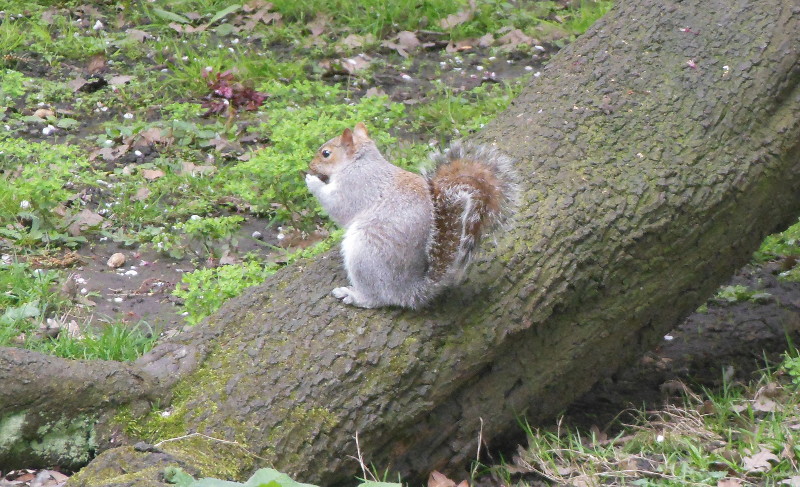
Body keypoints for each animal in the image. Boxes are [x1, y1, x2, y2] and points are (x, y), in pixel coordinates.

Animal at [304, 124, 516, 310]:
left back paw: (355, 295)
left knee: (378, 298)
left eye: (326, 153)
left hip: (363, 252)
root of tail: (406, 290)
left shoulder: (355, 186)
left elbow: (337, 205)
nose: (310, 166)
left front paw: (311, 180)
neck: (360, 161)